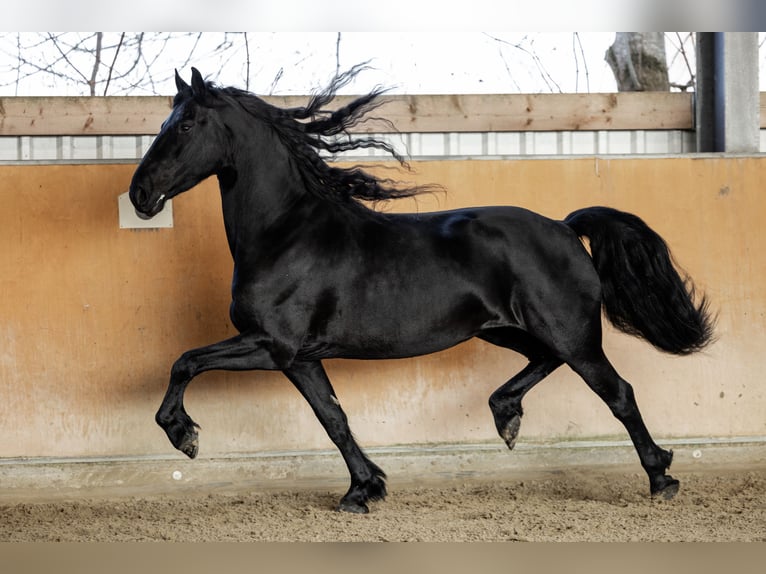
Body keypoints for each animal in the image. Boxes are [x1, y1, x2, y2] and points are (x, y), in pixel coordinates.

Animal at [130, 68, 712, 516]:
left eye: (186, 124)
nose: (140, 193)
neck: (285, 232)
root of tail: (565, 228)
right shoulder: (300, 357)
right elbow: (334, 419)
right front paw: (363, 490)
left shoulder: (271, 345)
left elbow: (185, 361)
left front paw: (183, 434)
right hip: (507, 330)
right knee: (544, 362)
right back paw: (506, 417)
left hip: (571, 335)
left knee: (619, 394)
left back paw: (661, 477)